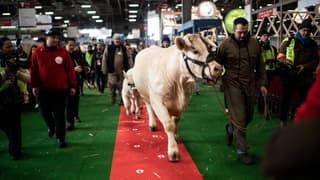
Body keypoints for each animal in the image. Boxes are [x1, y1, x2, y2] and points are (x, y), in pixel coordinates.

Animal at [131, 33, 221, 162]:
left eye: (209, 49)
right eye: (195, 50)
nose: (218, 68)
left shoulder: (184, 102)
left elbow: (176, 121)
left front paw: (176, 136)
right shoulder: (158, 101)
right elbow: (169, 125)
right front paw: (173, 151)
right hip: (145, 94)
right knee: (149, 108)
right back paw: (152, 124)